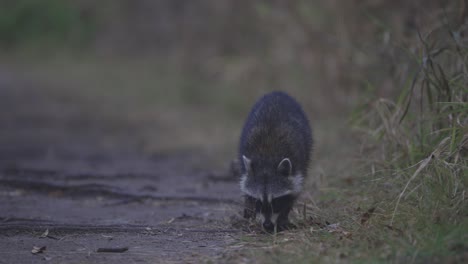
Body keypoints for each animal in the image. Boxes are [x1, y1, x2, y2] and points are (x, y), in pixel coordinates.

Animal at [239, 92, 312, 232]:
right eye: (258, 202)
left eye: (276, 202)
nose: (267, 225)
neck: (267, 162)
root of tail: (277, 93)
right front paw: (250, 208)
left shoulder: (297, 165)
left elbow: (293, 191)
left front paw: (282, 218)